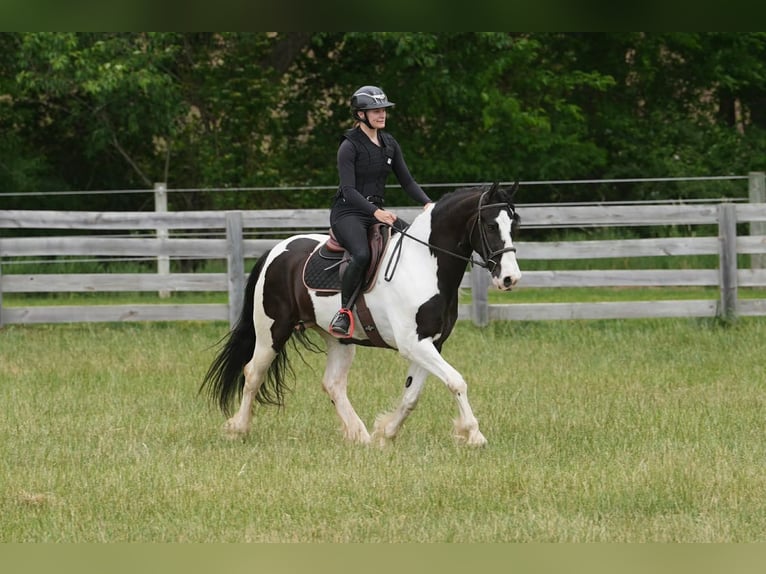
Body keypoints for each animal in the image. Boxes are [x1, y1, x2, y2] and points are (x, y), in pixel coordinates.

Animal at [200, 182, 522, 447]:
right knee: (253, 373)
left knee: (332, 384)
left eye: (514, 224)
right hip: (272, 331)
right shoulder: (413, 344)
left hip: (337, 338)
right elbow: (456, 381)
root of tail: (276, 250)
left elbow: (411, 395)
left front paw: (386, 433)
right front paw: (474, 434)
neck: (423, 265)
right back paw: (239, 429)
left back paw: (360, 435)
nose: (510, 278)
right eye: (490, 226)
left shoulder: (431, 343)